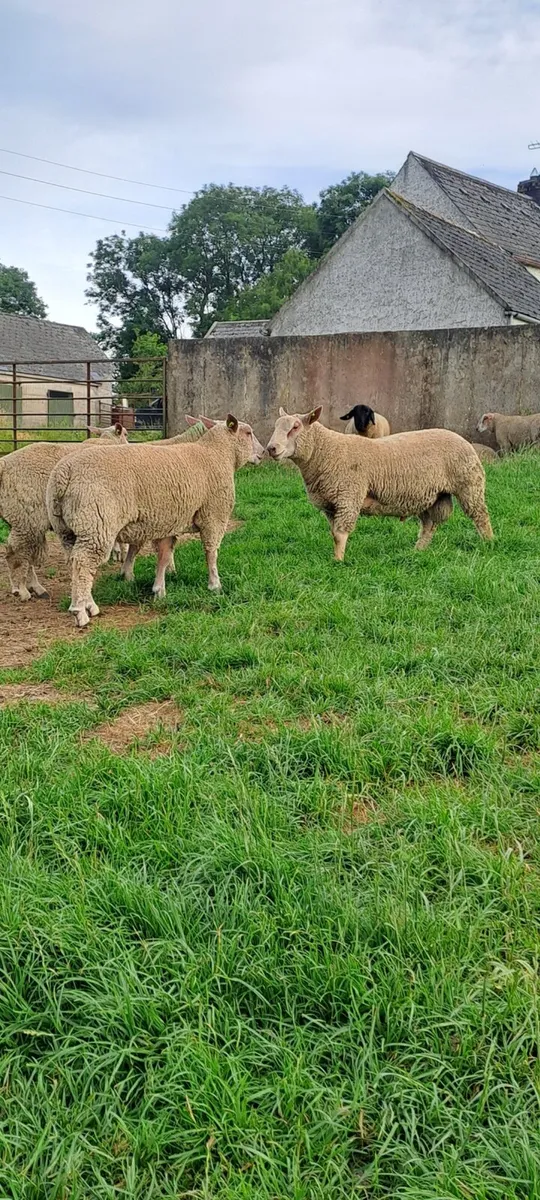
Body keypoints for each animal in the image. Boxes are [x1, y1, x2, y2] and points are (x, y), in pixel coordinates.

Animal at [0, 423, 127, 602]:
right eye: (126, 434)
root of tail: (4, 464)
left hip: (21, 519)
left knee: (25, 553)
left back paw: (33, 588)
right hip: (27, 518)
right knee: (15, 553)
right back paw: (22, 590)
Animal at [47, 414, 264, 628]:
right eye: (248, 433)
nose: (263, 453)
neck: (217, 454)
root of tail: (64, 473)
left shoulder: (170, 521)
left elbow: (164, 556)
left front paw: (159, 589)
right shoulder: (213, 515)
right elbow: (211, 553)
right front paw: (215, 585)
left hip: (68, 529)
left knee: (76, 562)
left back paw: (89, 605)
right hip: (96, 524)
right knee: (84, 562)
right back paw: (80, 611)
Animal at [266, 406, 493, 558]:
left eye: (295, 427)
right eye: (276, 426)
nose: (271, 448)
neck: (326, 451)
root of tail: (462, 439)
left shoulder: (348, 497)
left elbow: (340, 534)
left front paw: (338, 562)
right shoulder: (331, 505)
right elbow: (333, 534)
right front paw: (336, 557)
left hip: (469, 485)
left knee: (480, 516)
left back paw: (489, 543)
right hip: (432, 496)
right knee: (429, 526)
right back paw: (418, 552)